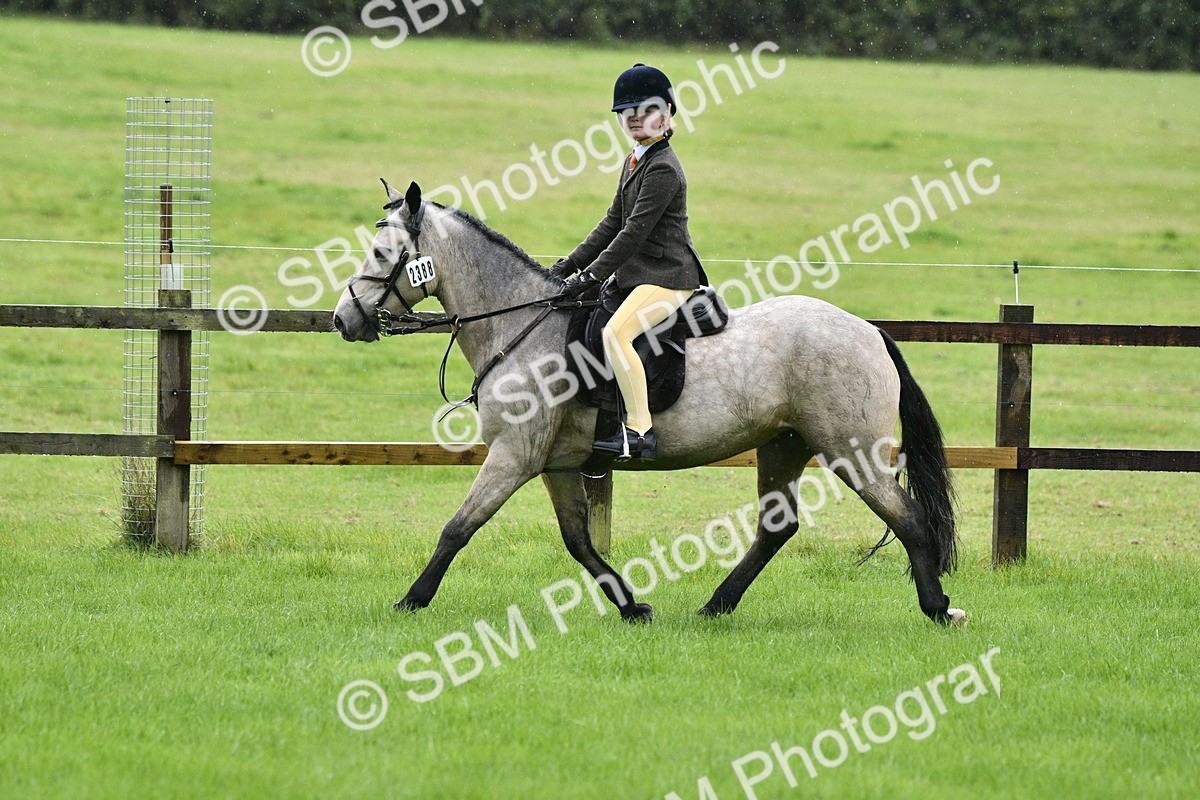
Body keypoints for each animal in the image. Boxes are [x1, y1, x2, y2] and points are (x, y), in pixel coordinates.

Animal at [333, 180, 966, 627]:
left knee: (908, 518)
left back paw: (938, 608)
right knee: (776, 528)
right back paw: (716, 605)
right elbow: (578, 541)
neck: (521, 325)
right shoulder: (556, 463)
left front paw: (412, 600)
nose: (344, 320)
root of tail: (869, 330)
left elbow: (458, 528)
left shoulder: (514, 455)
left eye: (382, 252)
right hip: (784, 444)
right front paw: (631, 605)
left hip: (850, 451)